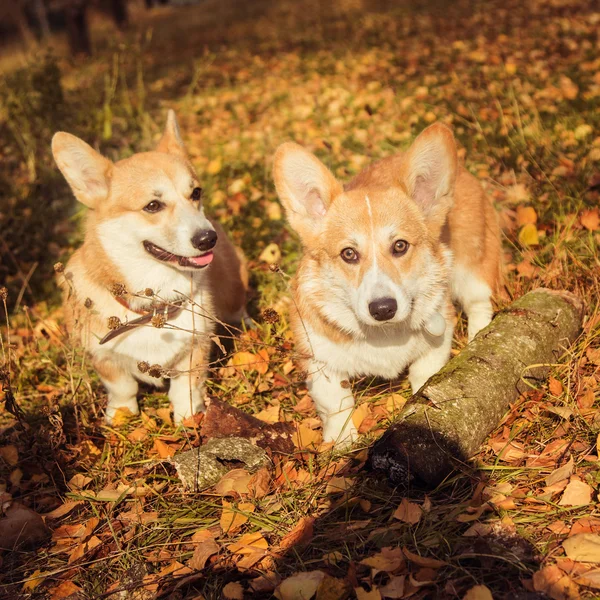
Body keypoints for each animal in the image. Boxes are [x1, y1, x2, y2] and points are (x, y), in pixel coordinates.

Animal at [51, 110, 247, 424]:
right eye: (153, 206)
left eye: (196, 193)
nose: (208, 238)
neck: (154, 304)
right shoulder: (103, 358)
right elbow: (122, 386)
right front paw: (120, 415)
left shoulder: (196, 348)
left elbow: (186, 386)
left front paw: (188, 418)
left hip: (232, 292)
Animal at [276, 123, 502, 446]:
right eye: (348, 254)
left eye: (400, 246)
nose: (383, 309)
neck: (383, 335)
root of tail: (465, 171)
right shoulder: (320, 360)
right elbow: (335, 405)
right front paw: (343, 444)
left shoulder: (438, 336)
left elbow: (424, 376)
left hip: (469, 268)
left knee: (480, 304)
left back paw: (478, 338)